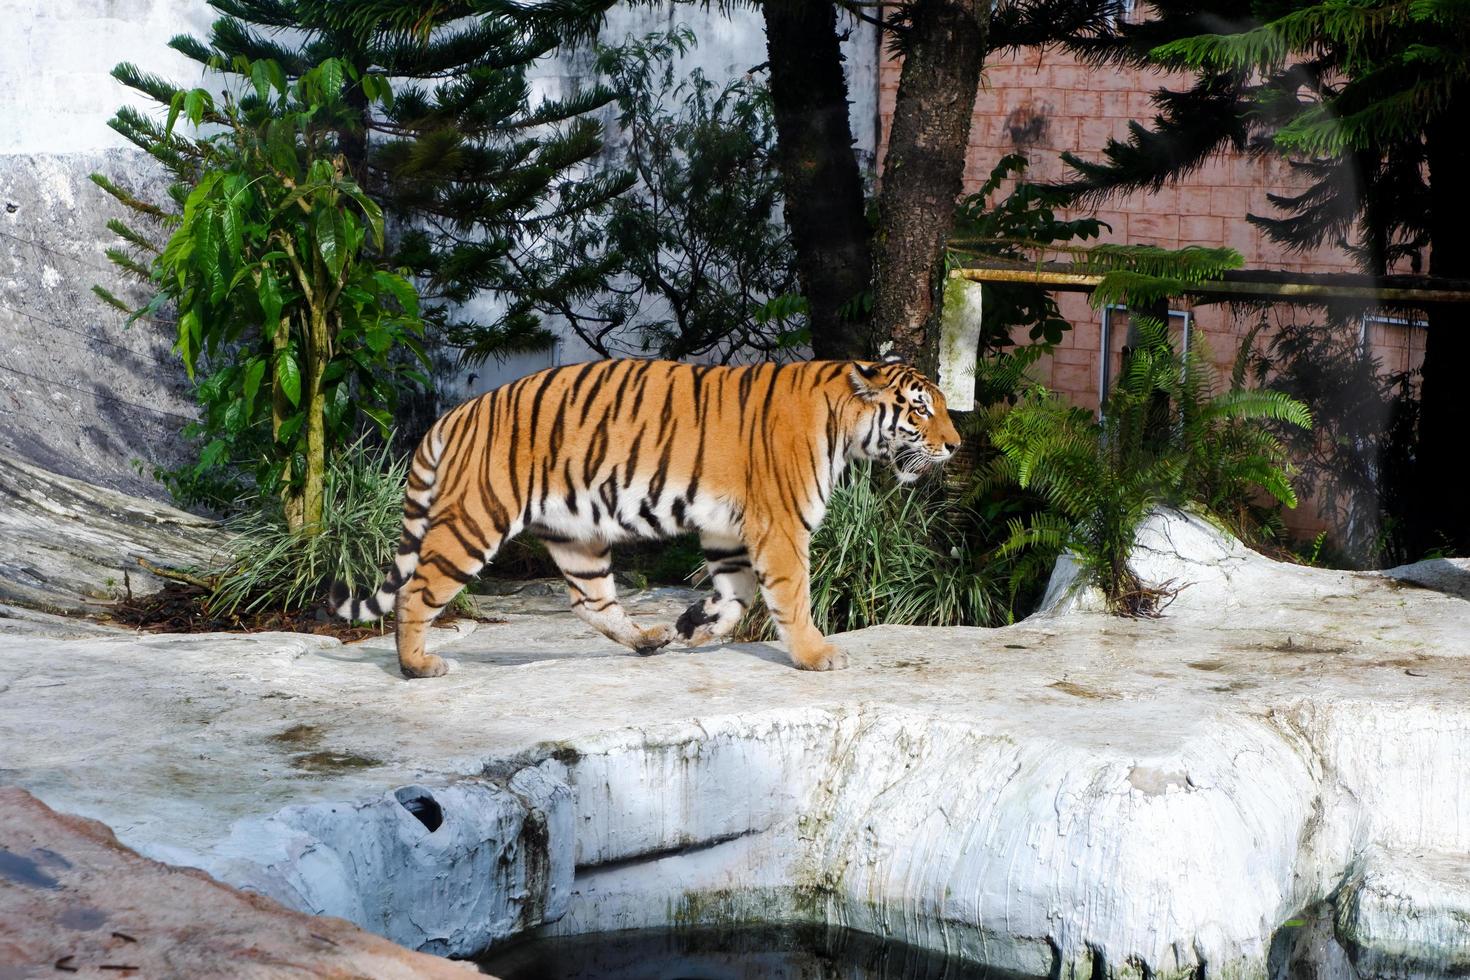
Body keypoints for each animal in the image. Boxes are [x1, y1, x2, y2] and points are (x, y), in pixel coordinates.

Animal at [327, 357, 958, 678]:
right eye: (921, 409)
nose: (955, 445)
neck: (843, 423)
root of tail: (457, 413)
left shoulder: (727, 531)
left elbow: (738, 596)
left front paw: (697, 627)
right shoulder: (779, 527)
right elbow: (791, 596)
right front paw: (815, 654)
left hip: (576, 534)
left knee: (591, 602)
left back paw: (650, 639)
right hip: (475, 519)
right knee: (418, 591)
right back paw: (417, 665)